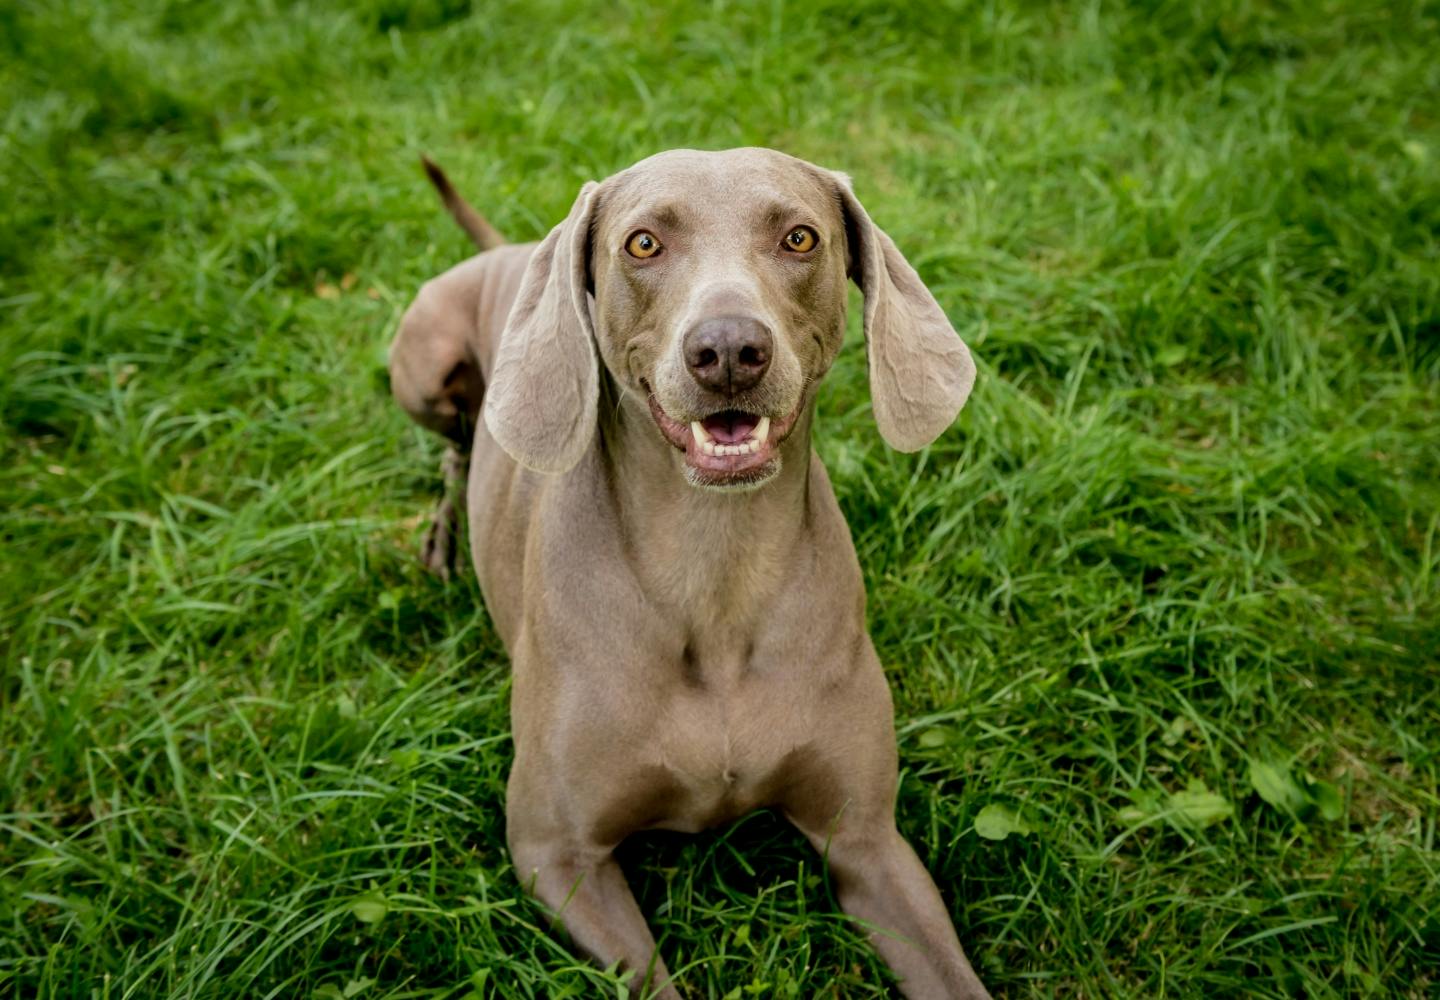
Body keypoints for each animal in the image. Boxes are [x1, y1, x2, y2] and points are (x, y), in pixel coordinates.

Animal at [385, 144, 990, 997]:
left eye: (800, 238)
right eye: (643, 243)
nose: (729, 350)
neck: (716, 571)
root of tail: (506, 248)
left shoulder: (869, 842)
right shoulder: (554, 852)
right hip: (425, 359)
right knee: (457, 441)